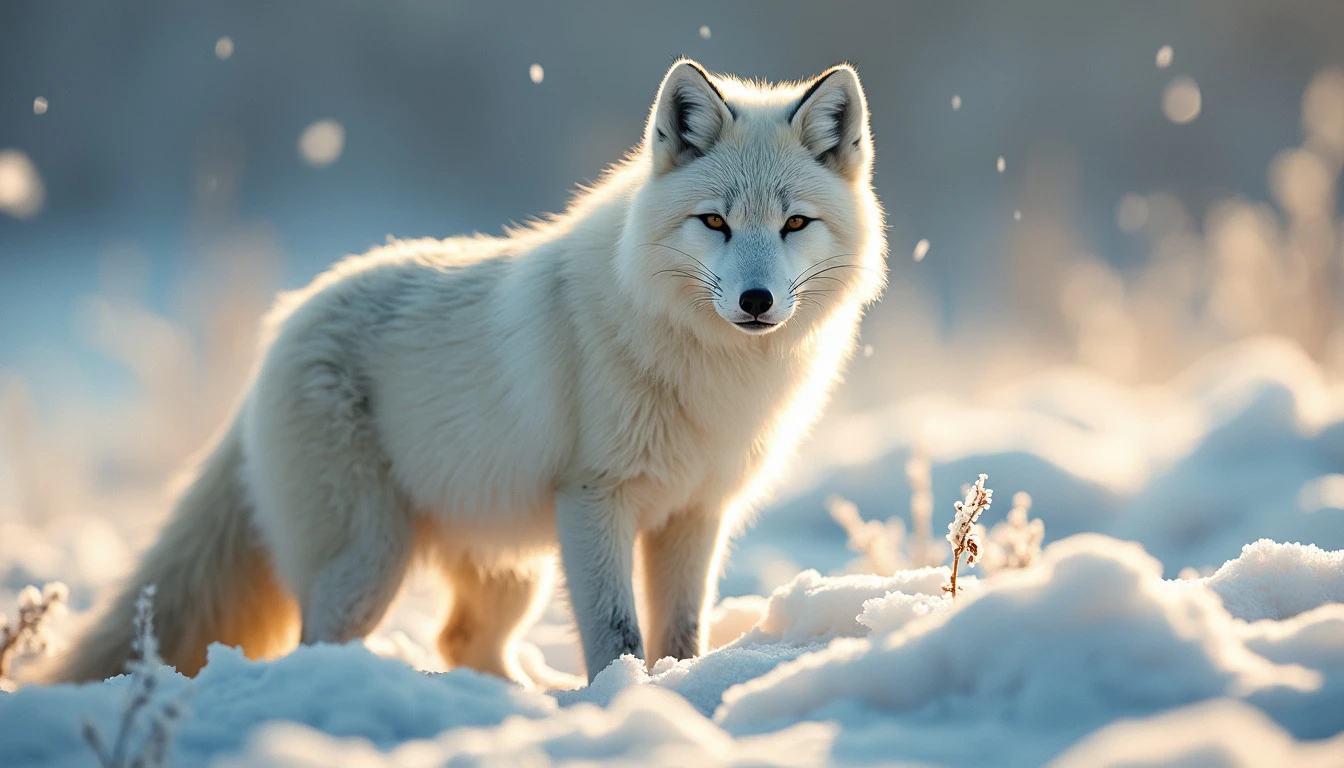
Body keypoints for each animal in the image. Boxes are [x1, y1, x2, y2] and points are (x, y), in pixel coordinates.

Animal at [52, 60, 887, 685]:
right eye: (714, 222)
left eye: (794, 224)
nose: (756, 301)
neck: (710, 371)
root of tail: (283, 323)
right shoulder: (596, 502)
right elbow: (617, 633)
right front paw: (621, 702)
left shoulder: (694, 514)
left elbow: (679, 635)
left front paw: (668, 692)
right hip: (371, 563)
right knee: (318, 649)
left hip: (510, 570)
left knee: (462, 645)